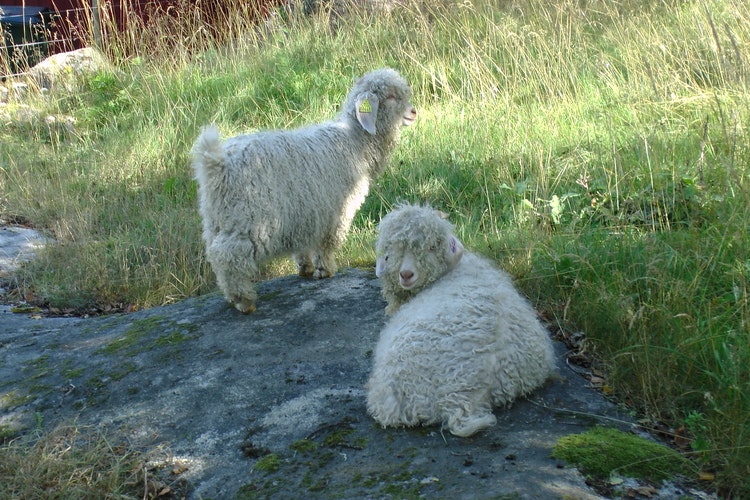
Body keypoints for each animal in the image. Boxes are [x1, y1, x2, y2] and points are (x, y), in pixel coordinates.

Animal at [191, 69, 418, 314]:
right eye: (391, 97)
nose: (413, 112)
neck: (355, 142)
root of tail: (217, 162)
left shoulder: (306, 211)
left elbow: (303, 242)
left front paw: (305, 267)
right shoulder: (336, 209)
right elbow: (327, 242)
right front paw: (325, 270)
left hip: (217, 218)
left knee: (214, 251)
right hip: (250, 216)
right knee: (229, 255)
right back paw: (243, 300)